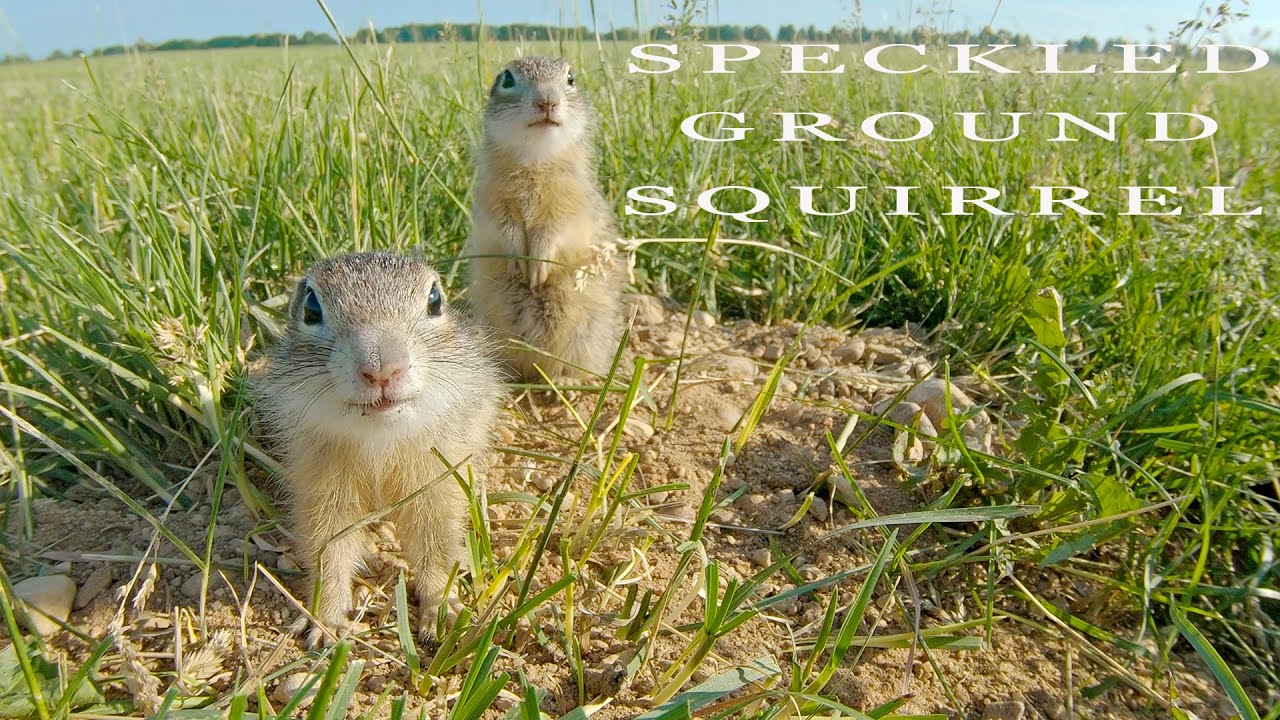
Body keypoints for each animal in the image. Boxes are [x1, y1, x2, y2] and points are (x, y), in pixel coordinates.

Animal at [250, 251, 503, 647]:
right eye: (310, 308)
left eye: (435, 300)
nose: (383, 369)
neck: (379, 436)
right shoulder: (323, 489)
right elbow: (328, 550)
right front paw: (326, 619)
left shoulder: (436, 480)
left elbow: (436, 544)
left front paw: (441, 610)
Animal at [464, 55, 624, 383]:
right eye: (507, 79)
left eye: (571, 78)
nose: (547, 101)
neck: (535, 160)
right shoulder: (492, 202)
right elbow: (504, 227)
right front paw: (518, 259)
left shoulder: (572, 204)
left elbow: (557, 230)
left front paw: (537, 267)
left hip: (586, 333)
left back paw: (565, 379)